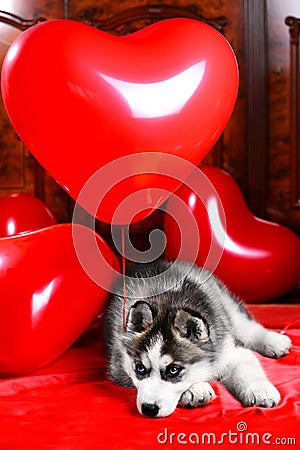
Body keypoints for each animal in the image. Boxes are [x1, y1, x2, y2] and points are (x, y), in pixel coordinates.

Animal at [104, 260, 292, 418]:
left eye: (173, 370)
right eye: (140, 368)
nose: (149, 409)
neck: (168, 302)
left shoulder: (227, 350)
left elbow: (247, 366)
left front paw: (261, 390)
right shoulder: (118, 368)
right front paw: (196, 388)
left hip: (226, 305)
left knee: (247, 327)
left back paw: (274, 341)